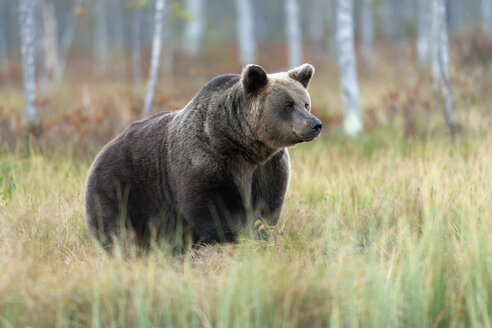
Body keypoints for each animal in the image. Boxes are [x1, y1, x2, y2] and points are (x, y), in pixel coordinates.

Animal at [84, 63, 322, 249]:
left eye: (305, 103)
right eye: (288, 105)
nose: (315, 124)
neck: (246, 144)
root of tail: (103, 148)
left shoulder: (269, 167)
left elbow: (268, 203)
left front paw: (264, 226)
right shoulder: (210, 160)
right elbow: (218, 206)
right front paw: (252, 231)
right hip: (123, 184)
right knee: (115, 226)